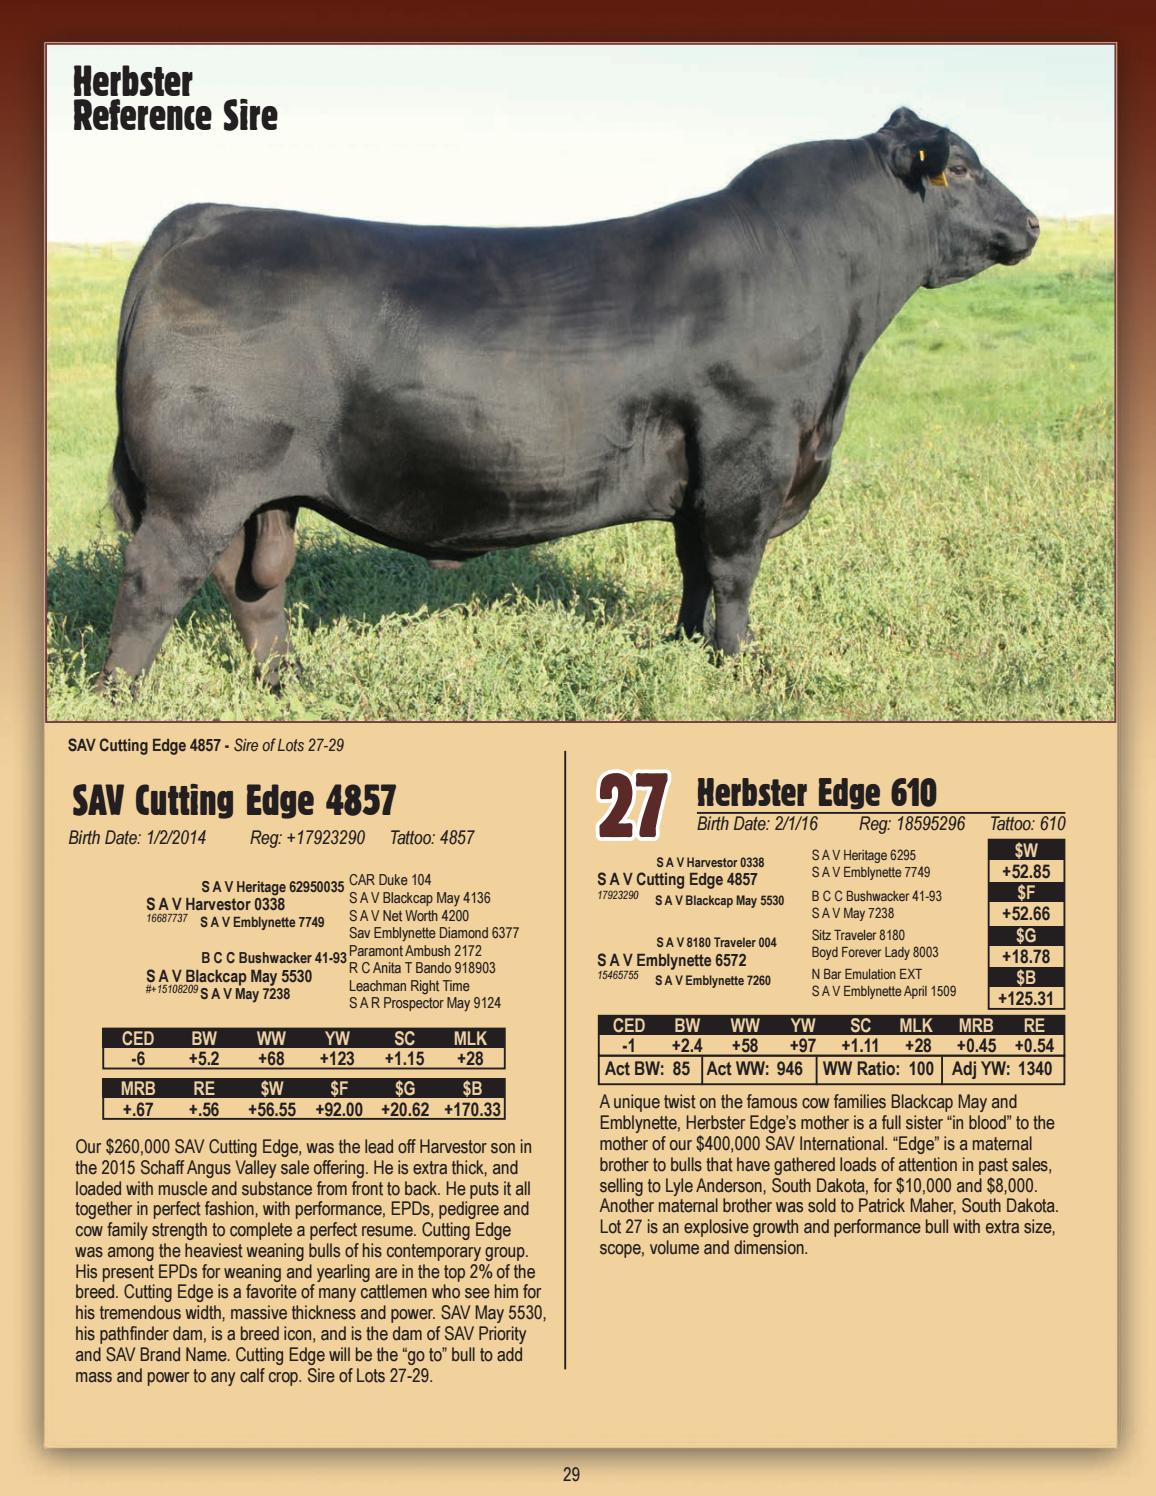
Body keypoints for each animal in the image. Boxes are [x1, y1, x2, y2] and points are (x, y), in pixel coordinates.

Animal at [100, 107, 1038, 690]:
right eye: (959, 169)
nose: (1031, 224)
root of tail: (203, 216)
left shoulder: (699, 474)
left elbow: (693, 568)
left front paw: (683, 648)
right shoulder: (751, 452)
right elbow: (734, 572)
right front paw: (738, 666)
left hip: (261, 495)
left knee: (254, 588)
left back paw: (287, 681)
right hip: (195, 491)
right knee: (154, 583)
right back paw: (122, 698)